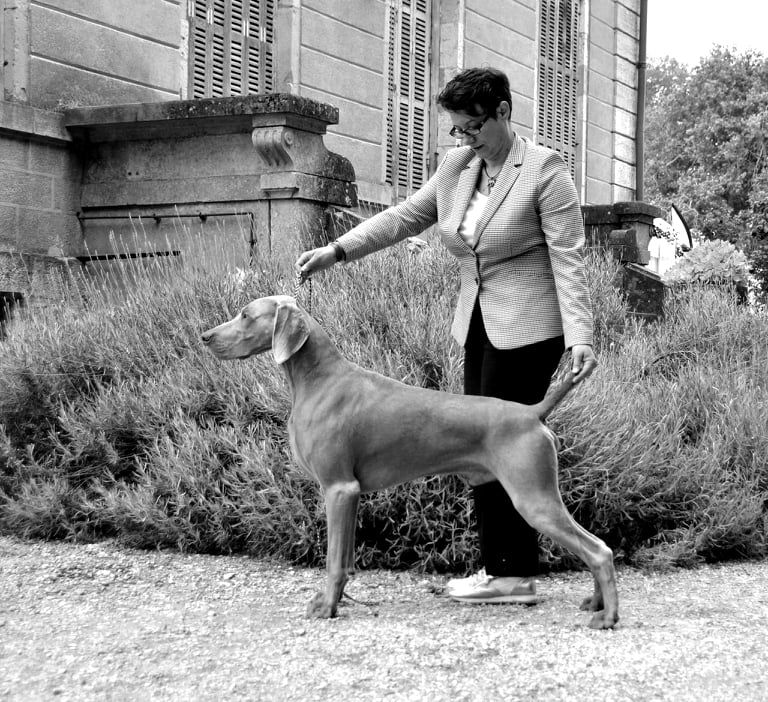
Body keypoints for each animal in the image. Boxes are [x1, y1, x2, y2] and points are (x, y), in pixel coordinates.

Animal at [202, 294, 616, 628]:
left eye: (245, 315)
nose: (205, 337)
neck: (319, 380)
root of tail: (532, 412)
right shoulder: (350, 494)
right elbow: (345, 558)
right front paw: (337, 601)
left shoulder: (338, 488)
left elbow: (333, 560)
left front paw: (327, 608)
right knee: (595, 548)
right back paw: (595, 603)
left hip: (534, 497)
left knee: (598, 550)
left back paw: (608, 616)